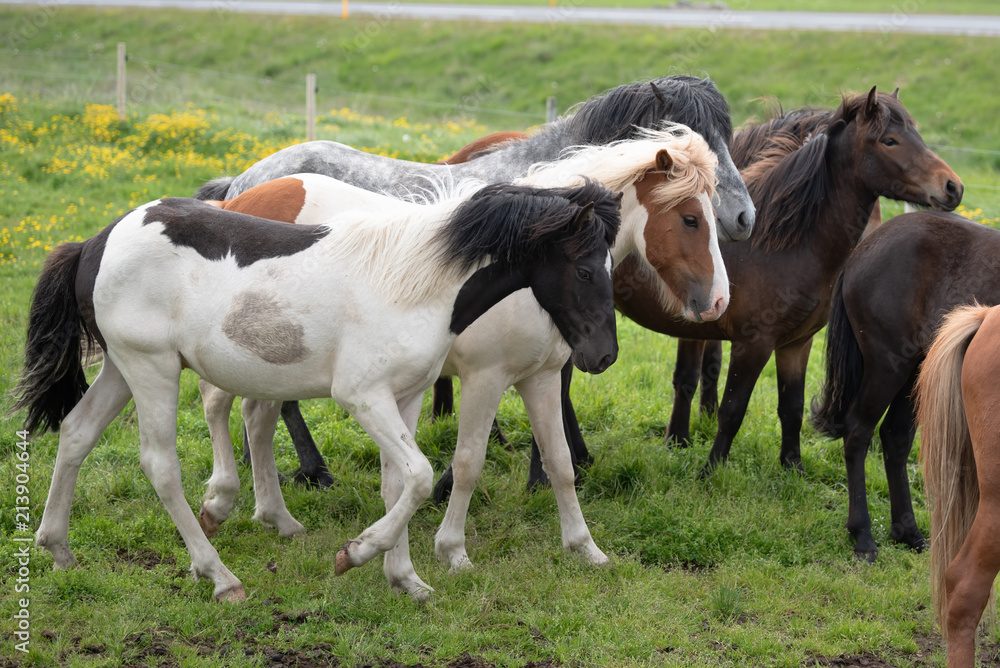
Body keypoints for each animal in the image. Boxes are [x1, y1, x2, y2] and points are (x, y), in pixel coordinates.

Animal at [11, 179, 622, 602]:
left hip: (121, 368)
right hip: (152, 369)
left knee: (76, 433)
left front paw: (405, 579)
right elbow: (424, 476)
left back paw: (57, 547)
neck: (421, 283)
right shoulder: (364, 397)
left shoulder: (405, 397)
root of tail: (95, 243)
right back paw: (220, 576)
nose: (603, 356)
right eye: (584, 269)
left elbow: (400, 483)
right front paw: (357, 554)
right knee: (161, 466)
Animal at [195, 126, 725, 572]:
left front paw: (584, 547)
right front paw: (452, 550)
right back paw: (233, 501)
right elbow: (470, 463)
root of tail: (239, 194)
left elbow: (559, 462)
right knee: (224, 405)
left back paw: (278, 517)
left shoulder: (540, 378)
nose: (718, 301)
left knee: (257, 417)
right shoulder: (485, 378)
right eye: (690, 219)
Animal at [811, 212, 1000, 561]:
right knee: (858, 433)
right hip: (888, 368)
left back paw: (908, 532)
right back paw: (863, 535)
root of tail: (865, 247)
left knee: (895, 437)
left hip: (917, 369)